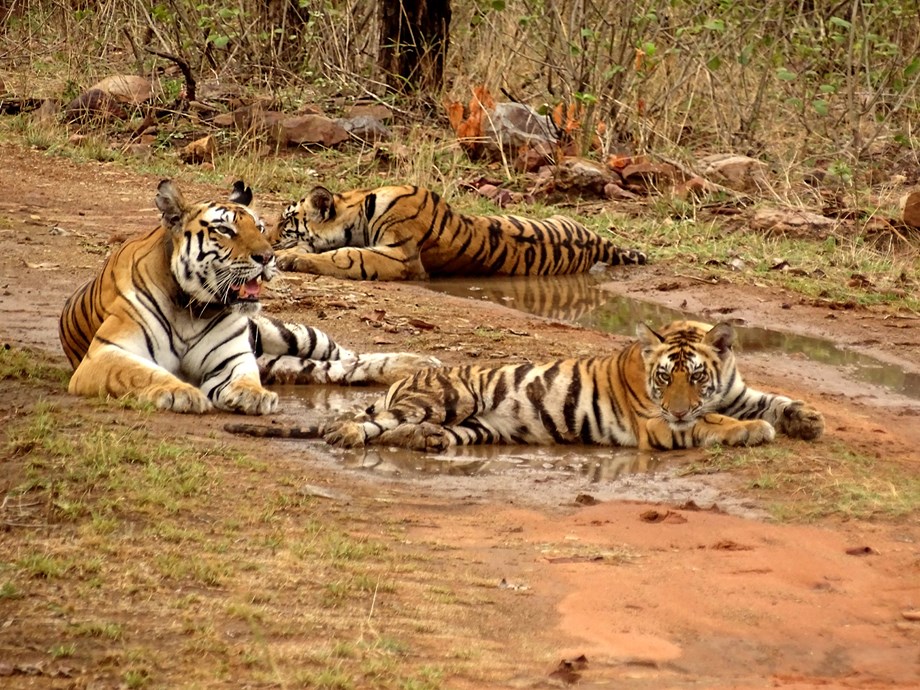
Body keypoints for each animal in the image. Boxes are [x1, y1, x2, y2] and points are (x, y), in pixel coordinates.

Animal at [59, 179, 439, 415]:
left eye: (257, 227)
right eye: (225, 230)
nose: (268, 257)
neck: (191, 308)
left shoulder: (233, 358)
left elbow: (242, 376)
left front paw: (251, 396)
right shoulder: (106, 354)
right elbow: (144, 374)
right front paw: (181, 392)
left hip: (289, 334)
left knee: (348, 356)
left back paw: (420, 364)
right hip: (283, 360)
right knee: (334, 369)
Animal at [272, 184, 647, 280]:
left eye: (286, 220)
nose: (269, 236)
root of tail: (596, 240)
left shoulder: (402, 257)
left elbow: (346, 256)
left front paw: (289, 257)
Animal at [314, 319, 824, 451]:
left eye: (697, 376)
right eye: (664, 378)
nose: (679, 408)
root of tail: (406, 378)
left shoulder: (738, 393)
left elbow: (773, 400)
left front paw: (808, 418)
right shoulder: (658, 424)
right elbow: (711, 421)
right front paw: (752, 431)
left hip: (478, 428)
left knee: (402, 432)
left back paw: (425, 440)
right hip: (447, 397)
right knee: (369, 422)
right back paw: (346, 434)